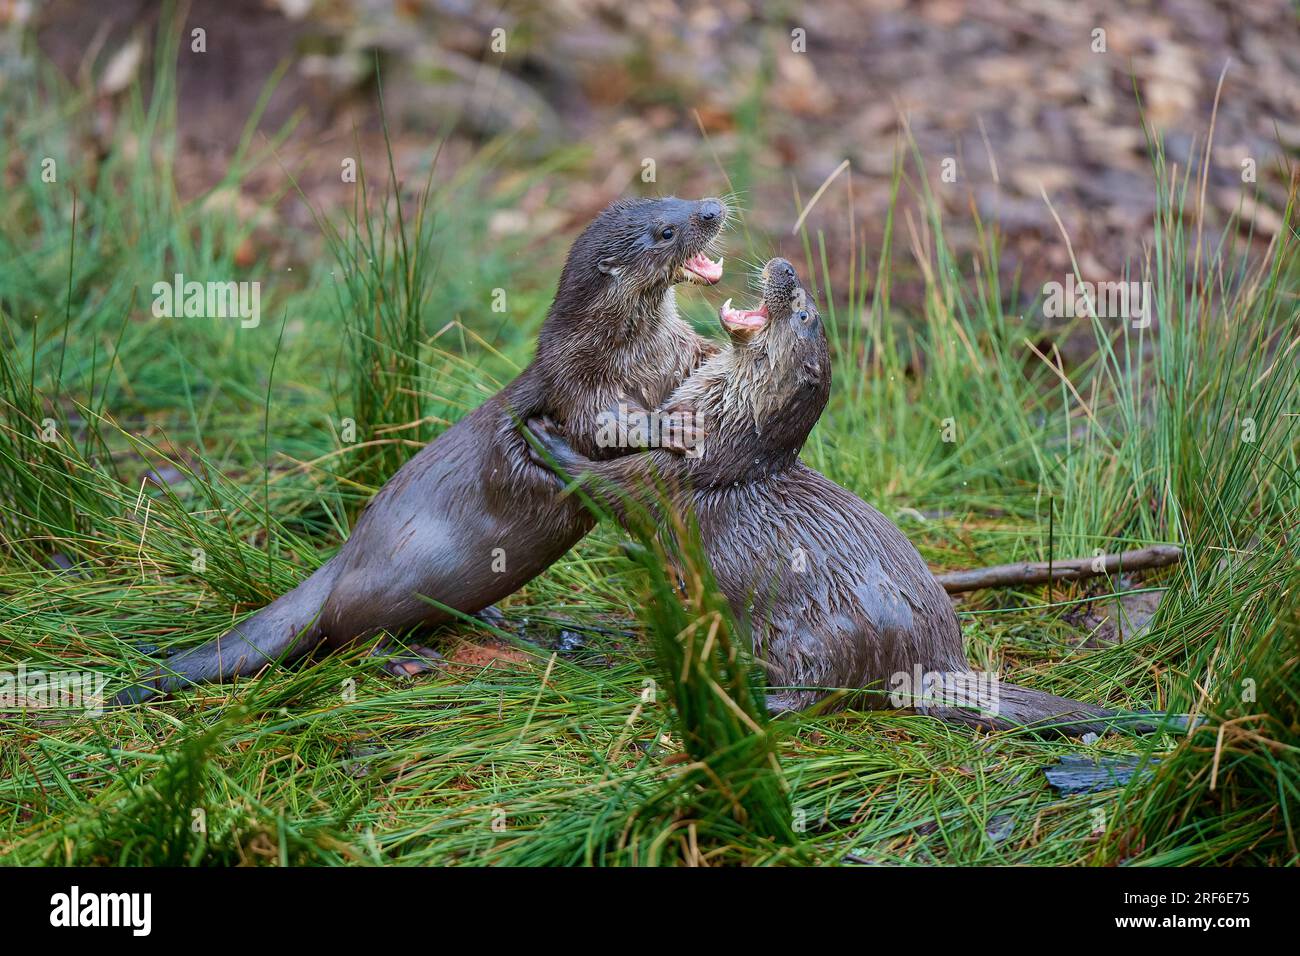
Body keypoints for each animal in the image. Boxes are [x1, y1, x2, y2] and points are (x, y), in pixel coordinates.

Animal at [114, 196, 733, 702]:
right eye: (665, 230)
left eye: (676, 197)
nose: (711, 208)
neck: (637, 351)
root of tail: (343, 560)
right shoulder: (579, 385)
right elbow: (608, 426)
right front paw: (672, 427)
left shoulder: (676, 351)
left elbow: (703, 355)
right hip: (391, 587)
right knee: (344, 633)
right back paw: (406, 659)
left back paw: (494, 619)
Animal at [527, 257, 1138, 738]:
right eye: (804, 294)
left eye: (802, 310)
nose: (786, 268)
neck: (721, 426)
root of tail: (937, 665)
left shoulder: (674, 473)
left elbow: (607, 485)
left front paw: (543, 435)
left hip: (821, 637)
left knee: (823, 696)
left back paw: (753, 694)